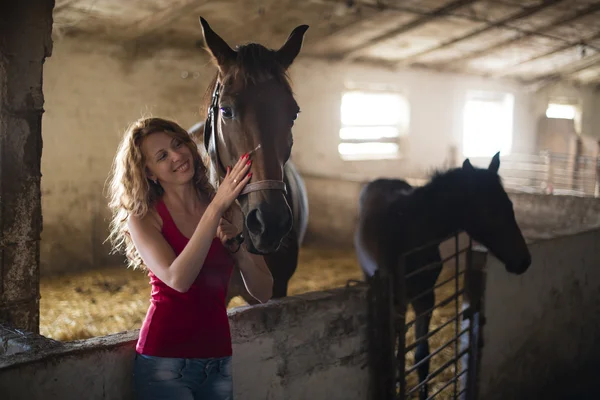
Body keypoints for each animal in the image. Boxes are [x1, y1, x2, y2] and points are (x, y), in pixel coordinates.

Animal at [354, 152, 532, 400]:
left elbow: (422, 356)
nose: (523, 261)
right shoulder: (397, 302)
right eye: (489, 211)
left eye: (510, 205)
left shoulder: (426, 298)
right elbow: (395, 352)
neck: (412, 228)